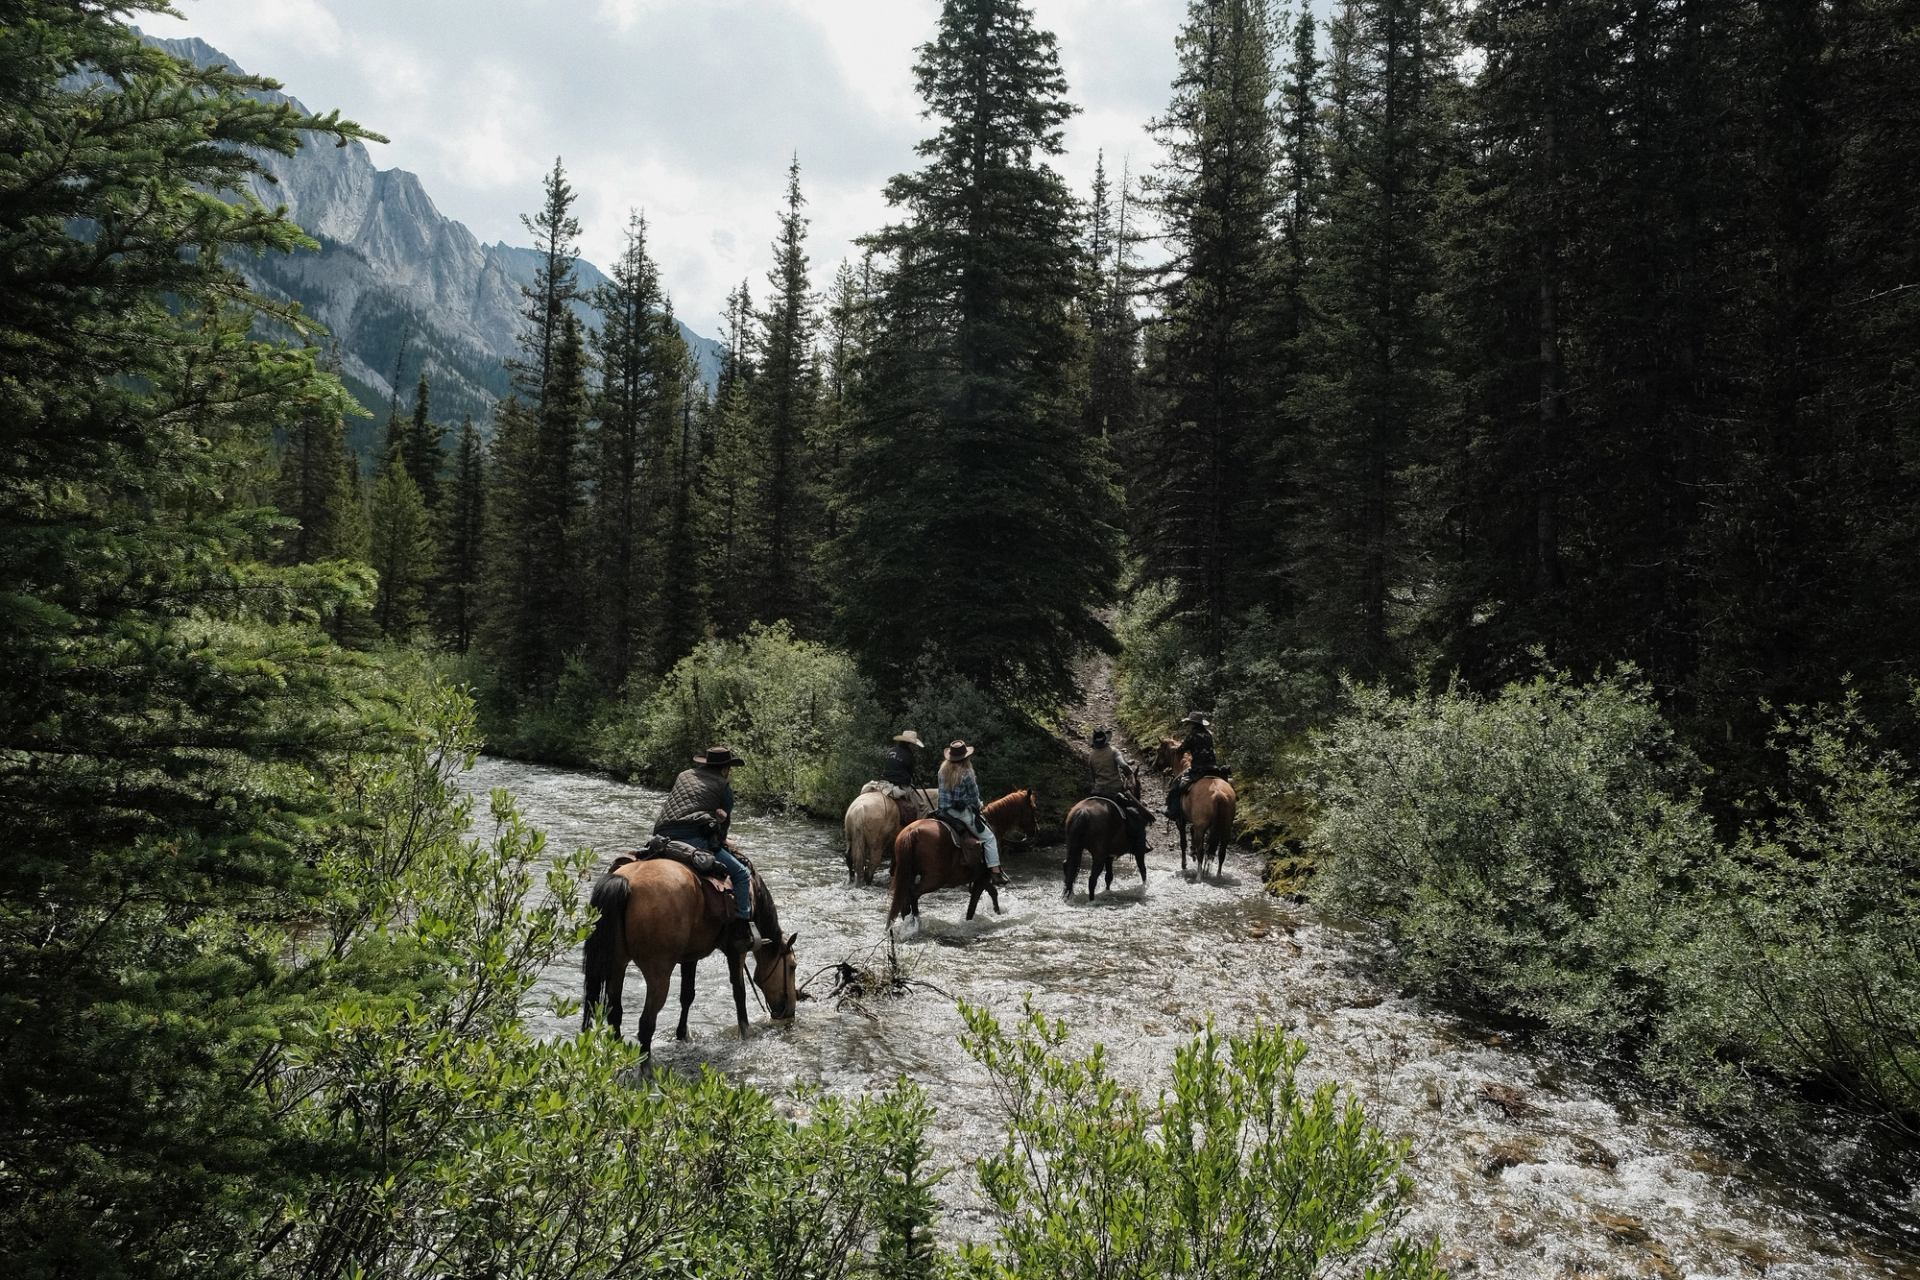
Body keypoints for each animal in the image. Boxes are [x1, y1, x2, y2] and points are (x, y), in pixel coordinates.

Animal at [579, 857, 799, 1059]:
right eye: (792, 966)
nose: (790, 1011)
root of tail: (626, 882)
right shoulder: (737, 951)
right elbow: (739, 992)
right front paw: (745, 1034)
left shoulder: (690, 956)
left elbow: (687, 995)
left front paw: (682, 1035)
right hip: (658, 973)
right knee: (646, 1023)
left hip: (618, 964)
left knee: (615, 1012)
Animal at [887, 789, 1040, 926]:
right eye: (1033, 808)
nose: (1036, 831)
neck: (993, 823)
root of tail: (912, 832)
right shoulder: (982, 877)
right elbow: (973, 906)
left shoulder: (980, 876)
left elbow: (993, 892)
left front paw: (997, 913)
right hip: (935, 879)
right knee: (913, 894)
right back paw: (916, 922)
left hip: (910, 874)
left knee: (905, 898)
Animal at [1062, 765, 1148, 900]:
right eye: (1139, 786)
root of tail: (1082, 812)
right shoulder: (1139, 851)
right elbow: (1143, 870)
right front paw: (1144, 888)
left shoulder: (1109, 856)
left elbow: (1109, 877)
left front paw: (1108, 891)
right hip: (1099, 855)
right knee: (1092, 879)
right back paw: (1091, 900)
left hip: (1074, 848)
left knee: (1068, 868)